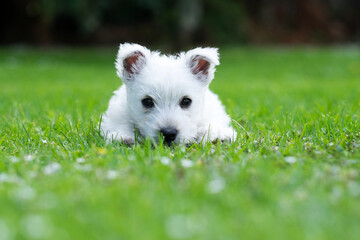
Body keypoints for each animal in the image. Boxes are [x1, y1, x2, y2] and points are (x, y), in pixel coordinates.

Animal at [101, 43, 236, 144]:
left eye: (186, 101)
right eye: (147, 101)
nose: (168, 133)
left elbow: (211, 121)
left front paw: (218, 135)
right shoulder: (119, 111)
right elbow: (121, 122)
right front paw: (123, 136)